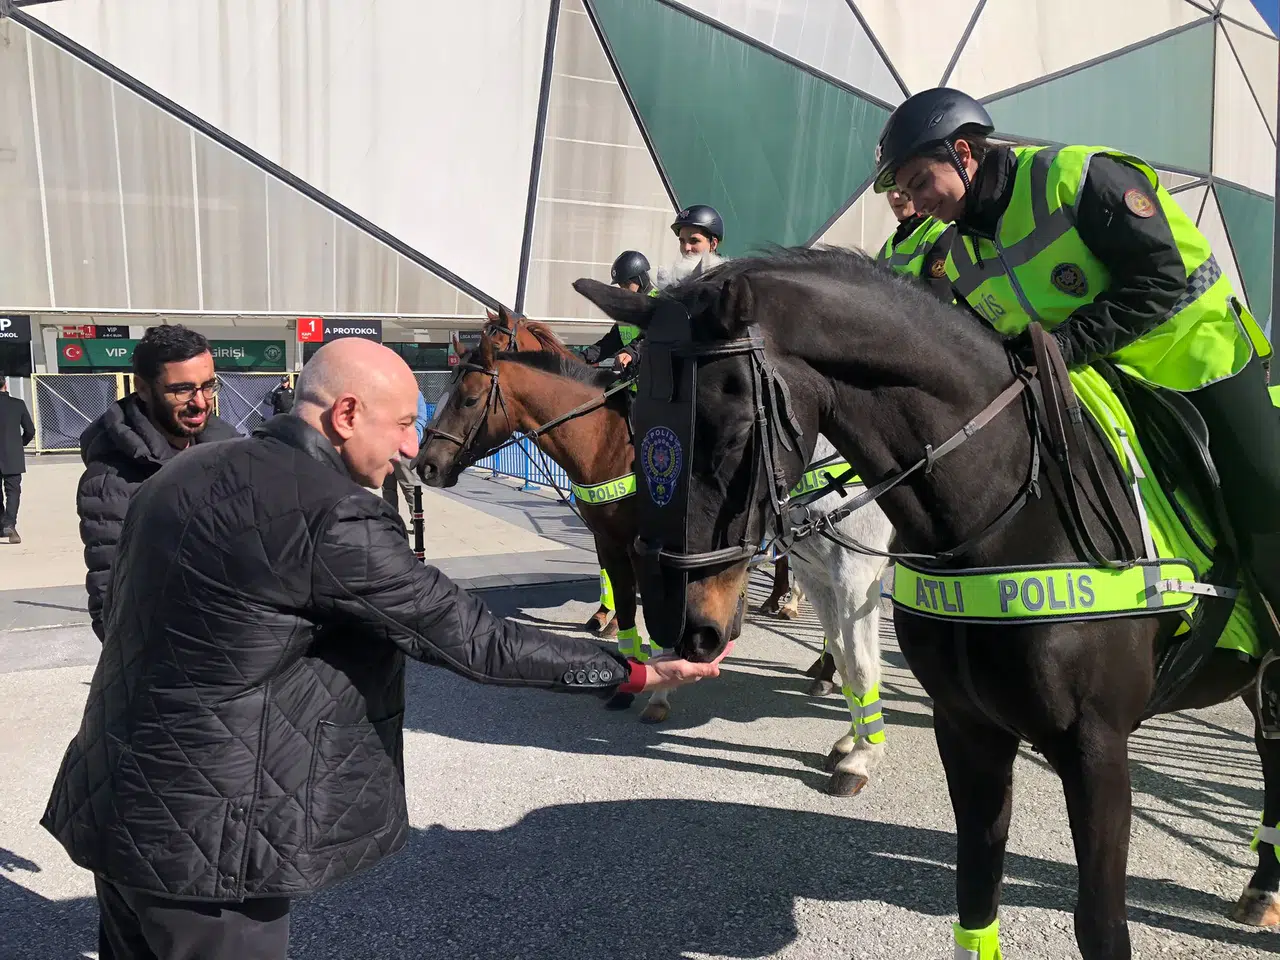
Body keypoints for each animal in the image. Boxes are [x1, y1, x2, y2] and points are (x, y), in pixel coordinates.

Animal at [572, 246, 1280, 958]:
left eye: (733, 430)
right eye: (635, 419)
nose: (681, 624)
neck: (1012, 510)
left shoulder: (1094, 747)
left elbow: (1100, 926)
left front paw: (858, 751)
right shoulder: (963, 721)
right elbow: (974, 894)